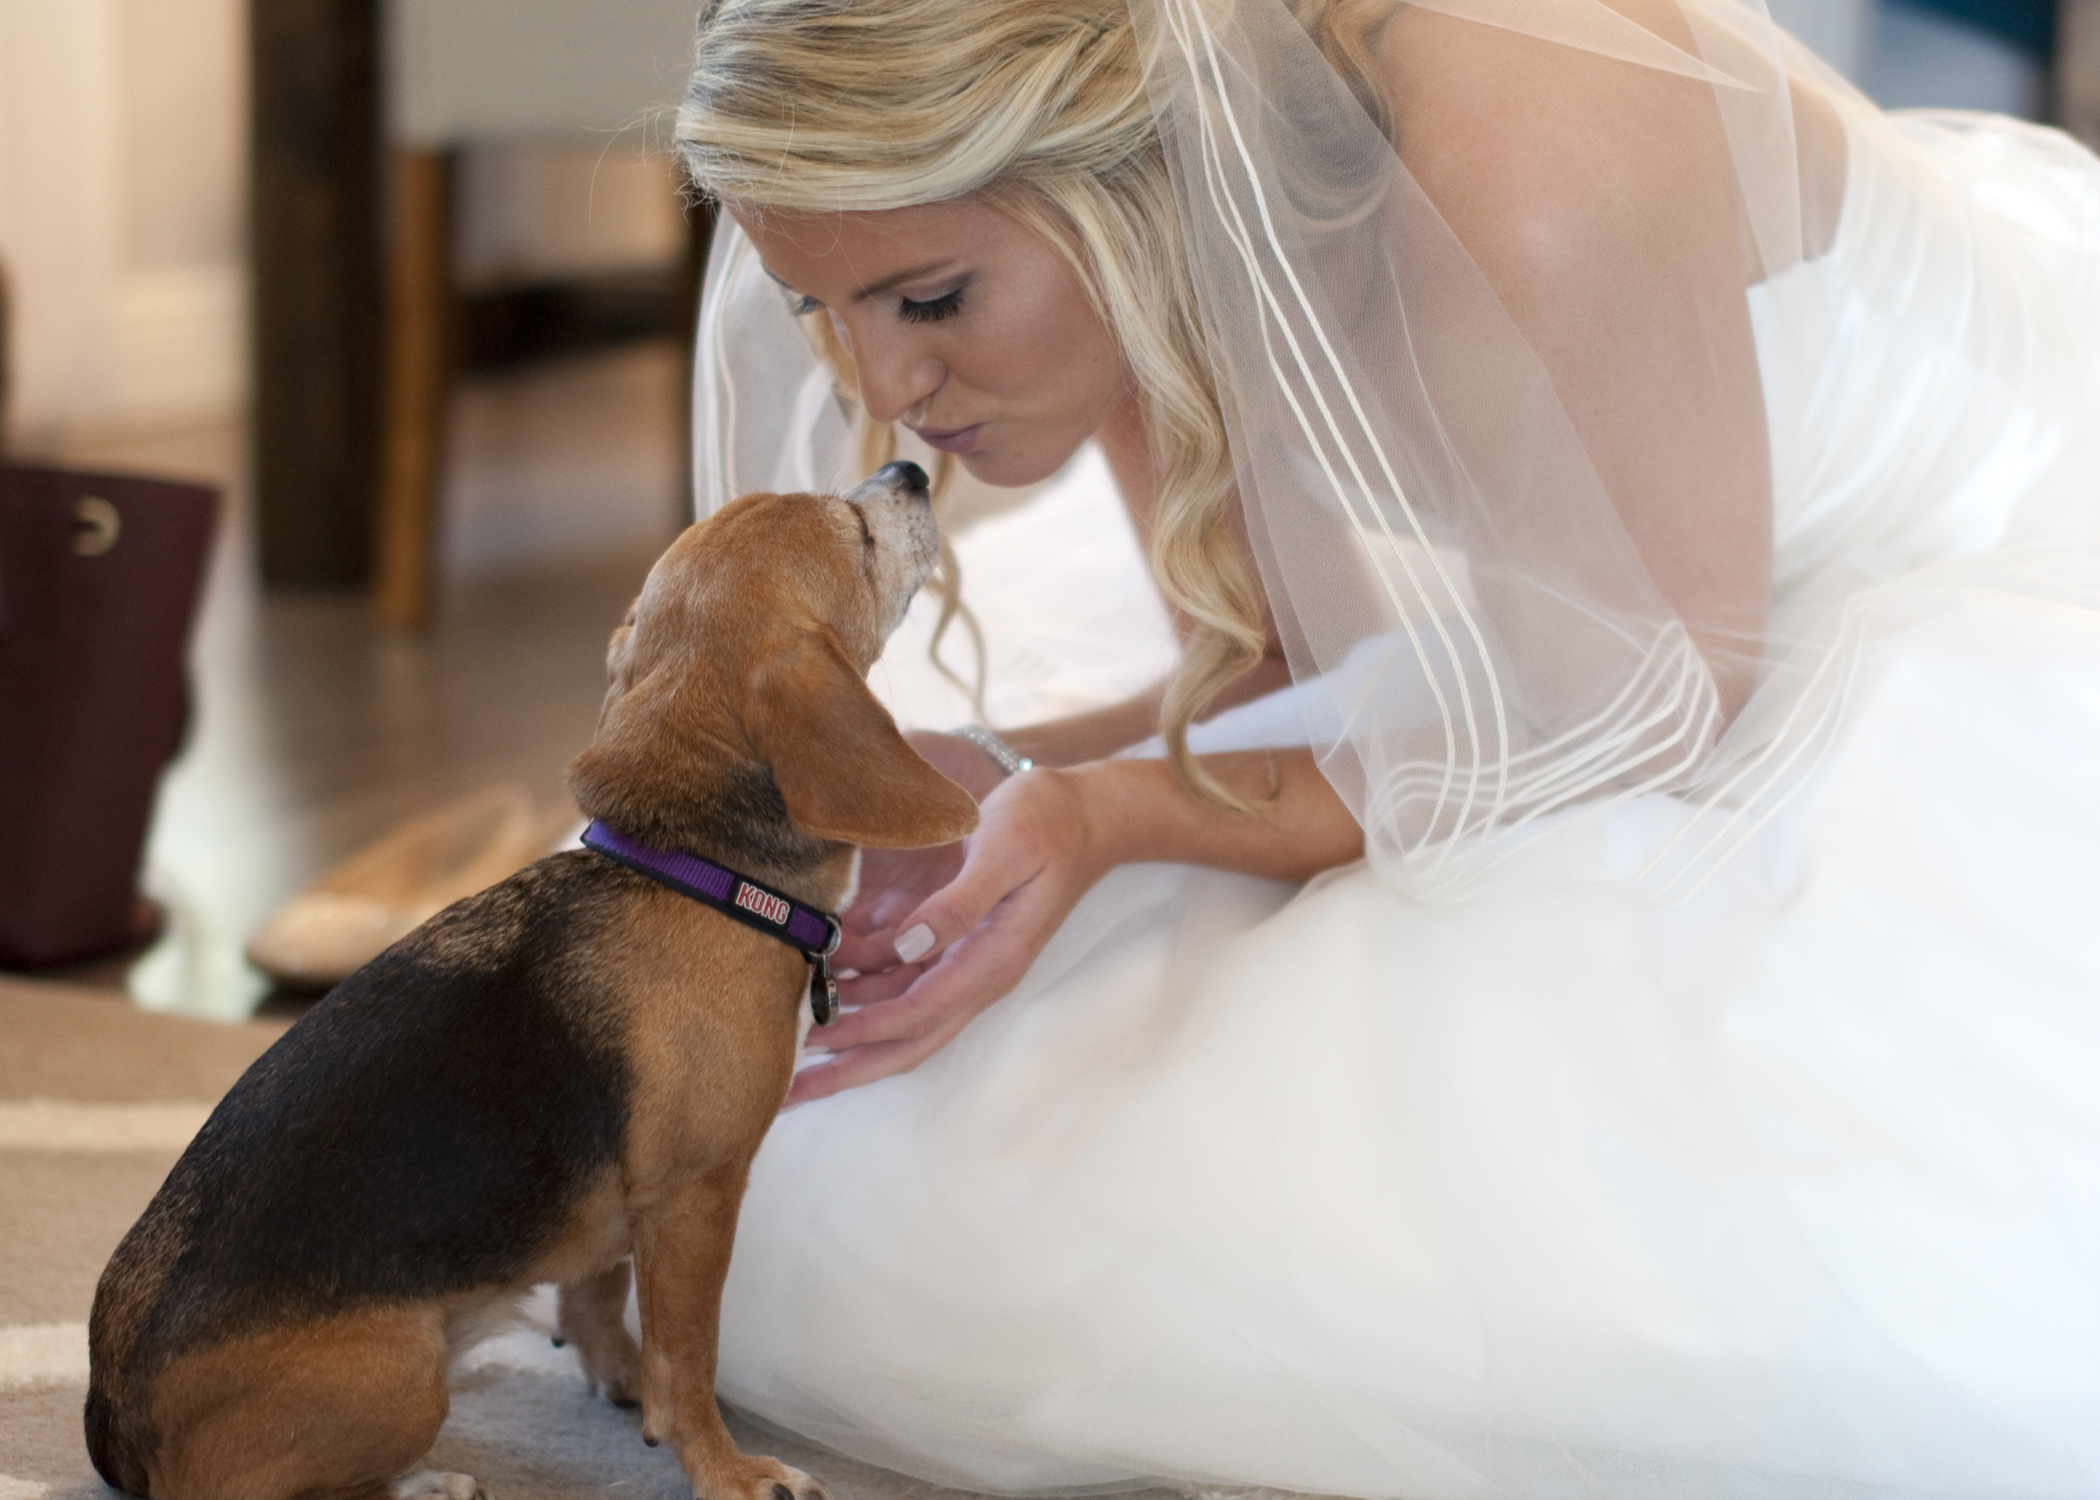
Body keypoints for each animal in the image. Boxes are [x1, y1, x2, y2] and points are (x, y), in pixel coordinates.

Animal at [85, 460, 979, 1500]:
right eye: (855, 531)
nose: (908, 469)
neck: (690, 870)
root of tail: (115, 1427)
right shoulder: (695, 1195)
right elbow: (691, 1355)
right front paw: (725, 1467)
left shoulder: (622, 1206)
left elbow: (599, 1301)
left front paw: (626, 1386)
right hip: (405, 1372)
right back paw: (428, 1482)